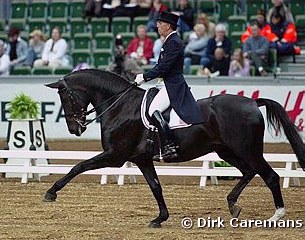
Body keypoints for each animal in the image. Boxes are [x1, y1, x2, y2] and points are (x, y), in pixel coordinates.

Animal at [45, 69, 304, 227]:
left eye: (66, 98)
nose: (74, 129)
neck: (121, 106)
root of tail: (252, 101)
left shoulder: (115, 155)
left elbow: (79, 166)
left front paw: (51, 192)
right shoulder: (141, 159)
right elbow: (156, 187)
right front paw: (160, 218)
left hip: (247, 150)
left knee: (270, 175)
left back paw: (276, 215)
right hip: (226, 151)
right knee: (249, 172)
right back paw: (232, 204)